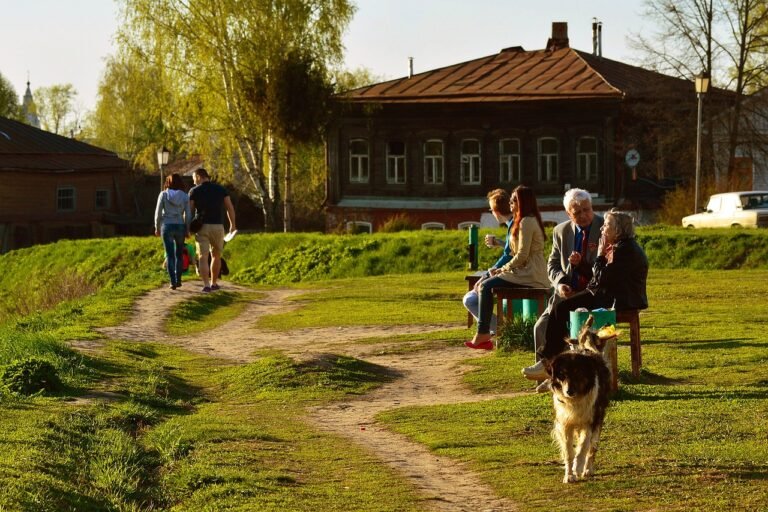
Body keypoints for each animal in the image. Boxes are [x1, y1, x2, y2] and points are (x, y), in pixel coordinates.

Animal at [544, 312, 612, 484]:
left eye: (578, 373)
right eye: (562, 375)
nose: (569, 391)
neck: (576, 400)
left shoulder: (590, 420)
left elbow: (582, 448)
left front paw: (578, 468)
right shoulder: (565, 422)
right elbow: (569, 451)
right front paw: (569, 475)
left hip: (599, 417)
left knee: (592, 448)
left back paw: (588, 469)